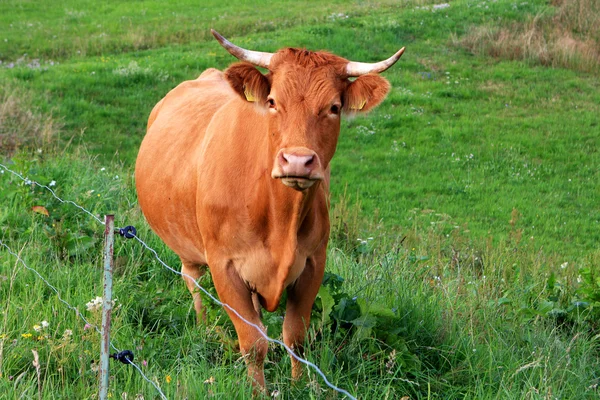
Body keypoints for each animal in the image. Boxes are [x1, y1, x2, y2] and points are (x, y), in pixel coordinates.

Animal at [136, 29, 404, 392]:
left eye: (334, 107)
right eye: (274, 102)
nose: (298, 161)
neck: (278, 218)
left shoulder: (313, 264)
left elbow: (295, 337)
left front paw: (299, 385)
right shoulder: (224, 266)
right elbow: (253, 343)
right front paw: (257, 390)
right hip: (190, 250)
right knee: (194, 284)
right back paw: (204, 328)